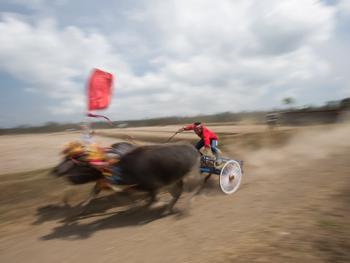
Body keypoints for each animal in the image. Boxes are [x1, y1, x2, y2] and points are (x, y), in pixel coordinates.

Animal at [51, 143, 200, 216]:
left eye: (80, 164)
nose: (56, 171)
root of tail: (193, 149)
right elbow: (127, 198)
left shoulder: (153, 186)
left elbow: (152, 201)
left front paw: (157, 205)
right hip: (174, 180)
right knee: (177, 194)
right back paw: (168, 210)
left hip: (191, 176)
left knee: (193, 190)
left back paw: (187, 206)